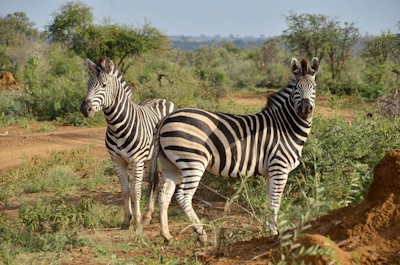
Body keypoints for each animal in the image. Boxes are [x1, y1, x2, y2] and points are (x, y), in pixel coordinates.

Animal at [79, 55, 177, 231]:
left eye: (104, 85)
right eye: (88, 85)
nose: (85, 109)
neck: (116, 127)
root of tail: (161, 99)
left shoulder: (137, 161)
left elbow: (136, 191)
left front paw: (137, 223)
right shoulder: (117, 161)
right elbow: (125, 191)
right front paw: (126, 221)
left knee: (156, 179)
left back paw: (146, 216)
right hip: (150, 157)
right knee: (153, 179)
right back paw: (148, 215)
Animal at [148, 56, 320, 242]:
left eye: (314, 87)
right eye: (296, 87)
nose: (305, 109)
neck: (285, 127)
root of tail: (166, 118)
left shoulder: (270, 172)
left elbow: (269, 202)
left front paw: (269, 231)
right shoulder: (279, 168)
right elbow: (275, 203)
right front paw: (275, 233)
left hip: (170, 163)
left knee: (164, 194)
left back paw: (166, 234)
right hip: (193, 161)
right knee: (182, 196)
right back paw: (201, 233)